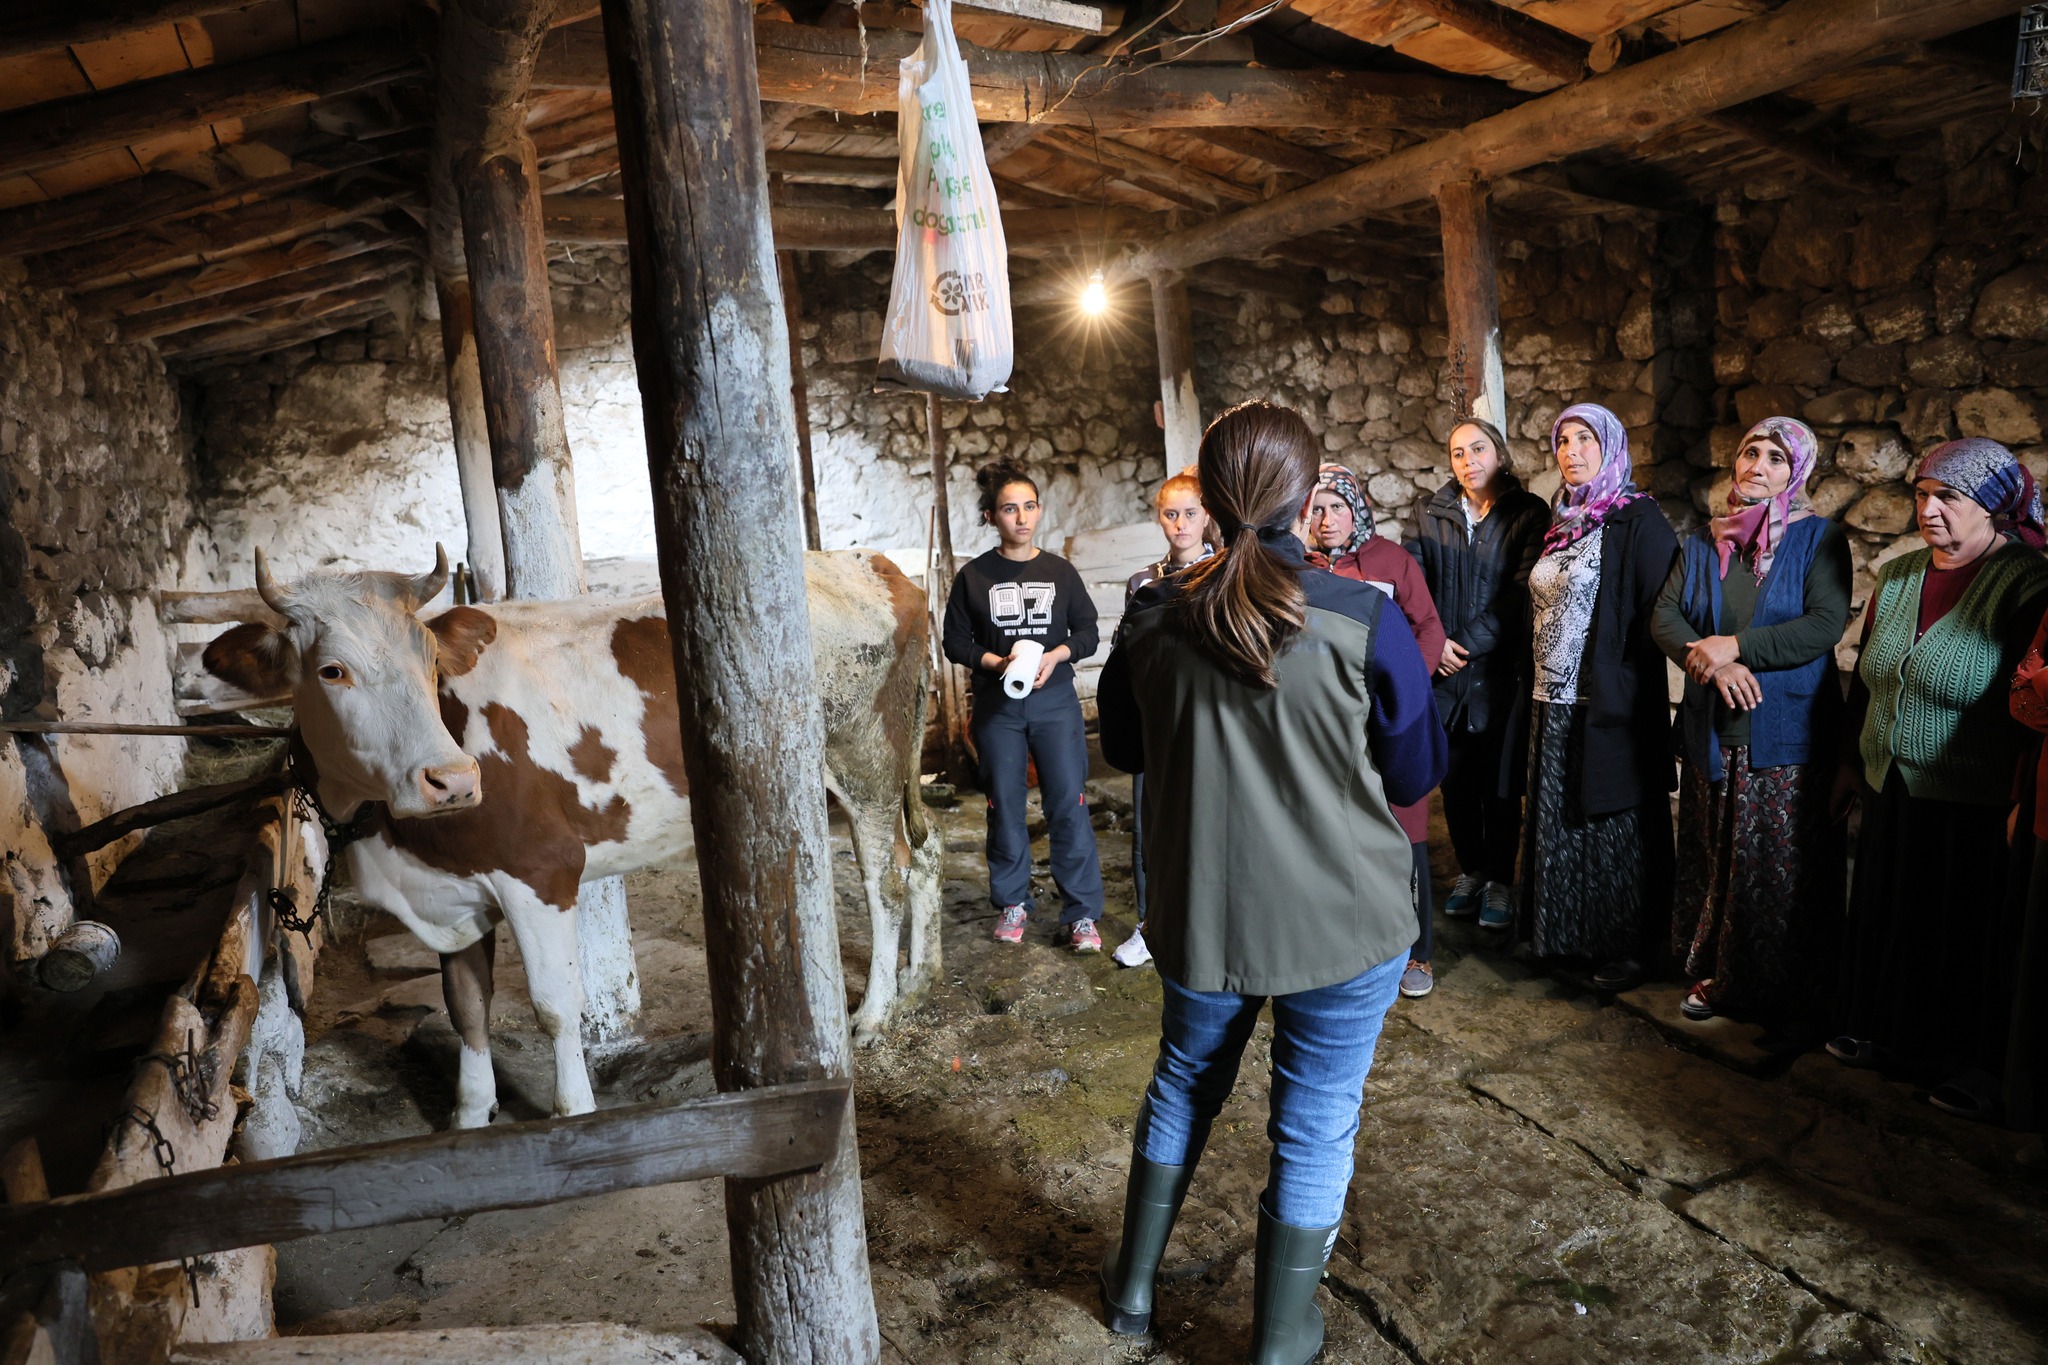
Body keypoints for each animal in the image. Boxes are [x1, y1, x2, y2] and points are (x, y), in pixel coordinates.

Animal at [203, 544, 937, 1129]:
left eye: (431, 662)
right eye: (331, 670)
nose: (449, 780)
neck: (390, 836)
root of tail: (868, 560)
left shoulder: (541, 869)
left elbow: (556, 1006)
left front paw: (574, 1113)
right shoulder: (448, 894)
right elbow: (466, 1006)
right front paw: (471, 1115)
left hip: (864, 758)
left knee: (886, 878)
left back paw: (874, 1013)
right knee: (925, 854)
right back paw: (921, 975)